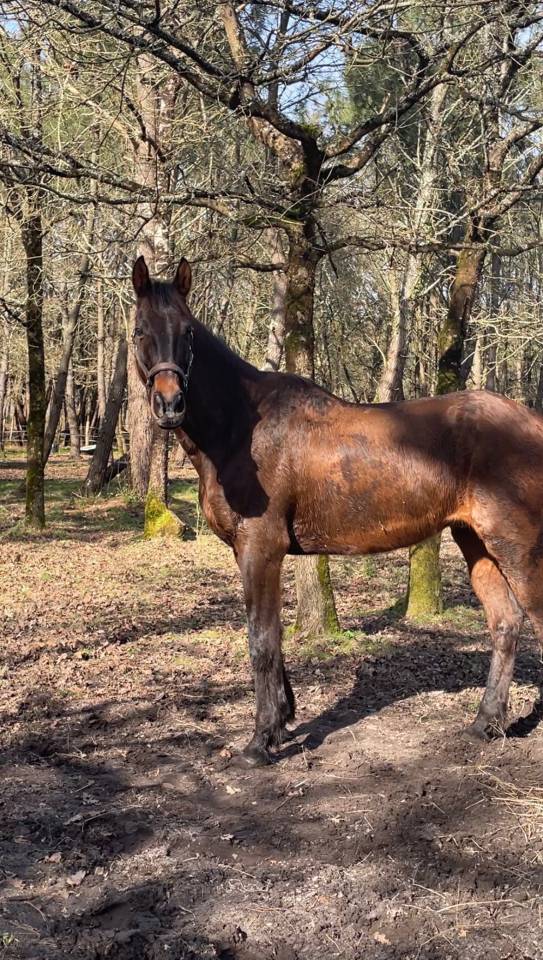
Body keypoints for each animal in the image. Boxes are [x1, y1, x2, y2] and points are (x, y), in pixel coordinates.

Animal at [132, 254, 543, 766]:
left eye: (187, 332)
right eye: (140, 329)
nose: (170, 404)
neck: (242, 428)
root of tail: (532, 421)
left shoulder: (260, 548)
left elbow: (261, 640)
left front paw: (260, 741)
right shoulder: (254, 554)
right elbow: (274, 636)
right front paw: (282, 721)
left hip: (519, 548)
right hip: (477, 543)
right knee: (505, 624)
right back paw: (486, 723)